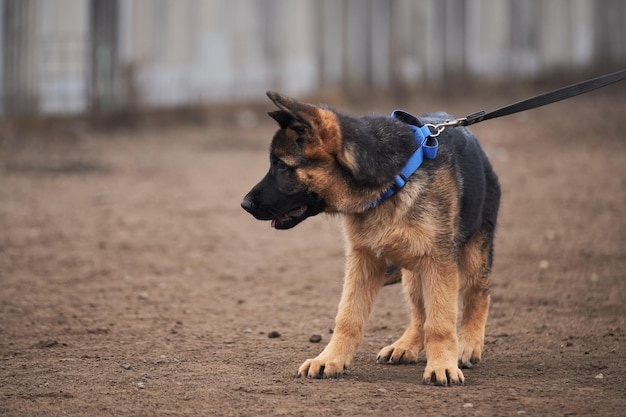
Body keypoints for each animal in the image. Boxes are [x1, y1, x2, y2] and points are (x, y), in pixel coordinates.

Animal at [241, 91, 500, 384]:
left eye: (282, 166)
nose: (244, 204)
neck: (392, 182)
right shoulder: (363, 260)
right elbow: (347, 317)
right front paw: (330, 359)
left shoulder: (439, 261)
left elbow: (440, 322)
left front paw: (442, 365)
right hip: (414, 272)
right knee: (419, 312)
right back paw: (406, 345)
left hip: (471, 256)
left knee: (478, 295)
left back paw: (468, 345)